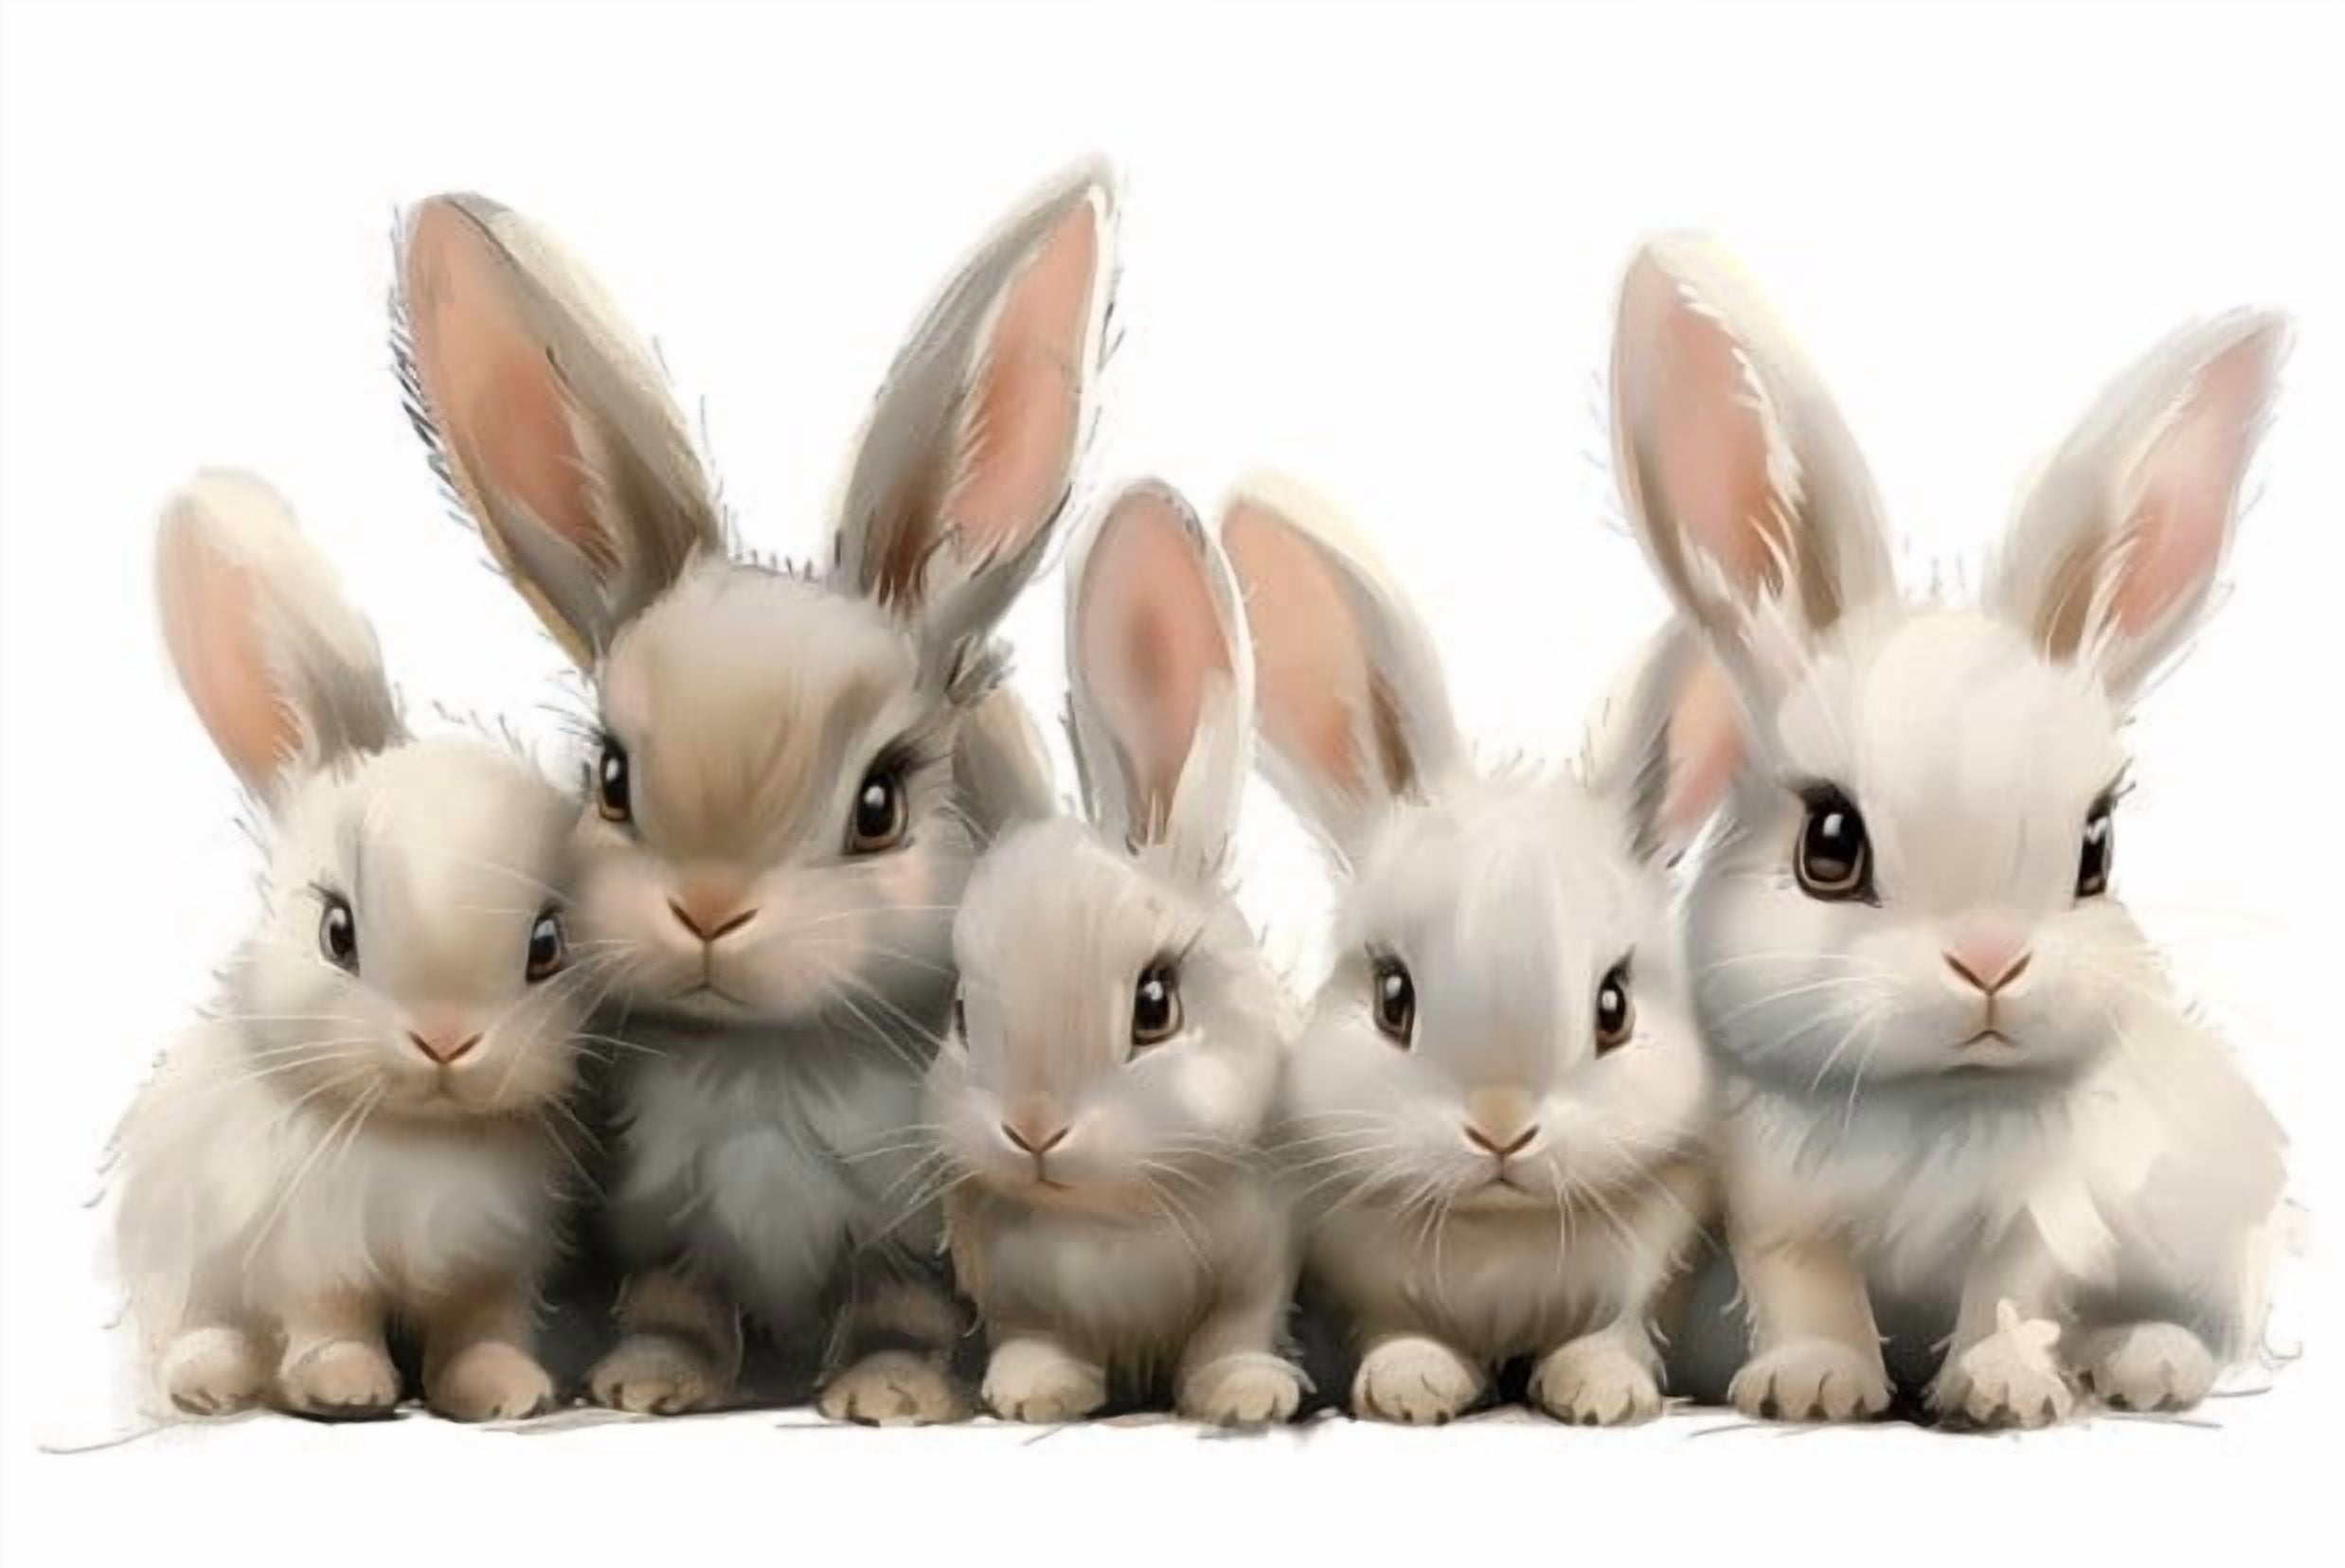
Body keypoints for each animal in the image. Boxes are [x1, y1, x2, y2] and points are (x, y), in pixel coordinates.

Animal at [111, 471, 593, 1423]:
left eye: (548, 944)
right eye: (337, 933)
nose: (445, 1041)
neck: (422, 1134)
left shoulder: (494, 1266)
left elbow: (481, 1328)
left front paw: (506, 1391)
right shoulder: (304, 1255)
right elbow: (329, 1319)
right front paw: (344, 1386)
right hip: (179, 1266)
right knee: (193, 1329)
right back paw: (212, 1379)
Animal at [391, 164, 1116, 1422]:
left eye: (880, 806)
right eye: (611, 778)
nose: (708, 911)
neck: (764, 1059)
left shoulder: (911, 1229)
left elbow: (899, 1310)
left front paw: (888, 1398)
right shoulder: (660, 1222)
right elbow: (676, 1302)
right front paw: (642, 1384)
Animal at [925, 480, 1308, 1428]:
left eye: (1156, 1005)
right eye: (960, 1014)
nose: (1033, 1130)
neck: (1116, 1209)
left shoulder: (1262, 1262)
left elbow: (1231, 1333)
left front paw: (1246, 1396)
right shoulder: (1014, 1289)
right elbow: (1036, 1337)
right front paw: (1034, 1394)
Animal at [1222, 475, 1738, 1426]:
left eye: (1615, 1007)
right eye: (1392, 998)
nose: (1502, 1129)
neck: (1498, 1226)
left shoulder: (1654, 1260)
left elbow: (1613, 1329)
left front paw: (1601, 1393)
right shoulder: (1359, 1275)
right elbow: (1396, 1329)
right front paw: (1413, 1385)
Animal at [1607, 234, 2293, 1428]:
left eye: (2095, 849)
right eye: (1829, 845)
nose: (1989, 963)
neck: (1936, 1097)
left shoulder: (2050, 1209)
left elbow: (2018, 1286)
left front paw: (2002, 1393)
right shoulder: (1776, 1202)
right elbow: (1807, 1285)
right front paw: (1812, 1386)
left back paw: (2143, 1364)